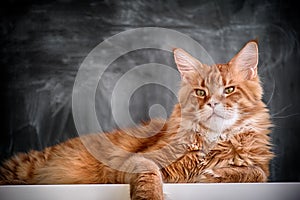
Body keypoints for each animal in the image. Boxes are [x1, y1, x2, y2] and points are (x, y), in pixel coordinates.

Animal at [0, 39, 274, 199]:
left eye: (229, 90)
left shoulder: (263, 170)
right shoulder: (138, 160)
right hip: (26, 166)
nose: (213, 104)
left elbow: (255, 173)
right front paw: (152, 197)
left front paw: (215, 174)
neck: (211, 142)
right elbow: (149, 176)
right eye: (200, 92)